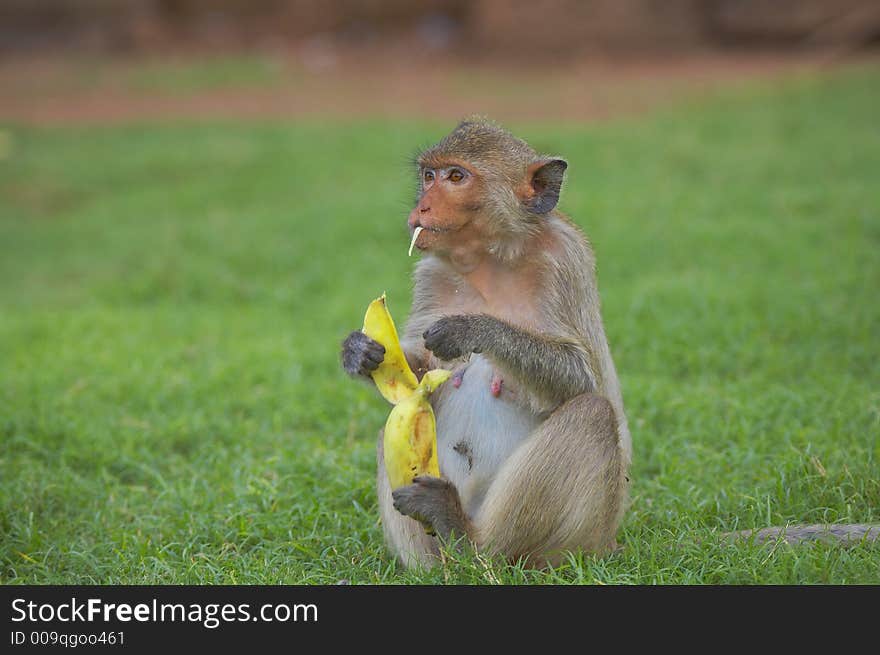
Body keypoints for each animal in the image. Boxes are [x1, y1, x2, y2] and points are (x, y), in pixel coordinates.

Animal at [340, 118, 876, 568]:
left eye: (456, 177)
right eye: (428, 175)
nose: (422, 207)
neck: (492, 260)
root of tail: (607, 542)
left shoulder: (565, 263)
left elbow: (580, 377)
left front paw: (475, 329)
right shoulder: (431, 273)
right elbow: (416, 376)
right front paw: (363, 353)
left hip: (573, 538)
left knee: (592, 417)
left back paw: (466, 539)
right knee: (397, 422)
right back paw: (440, 557)